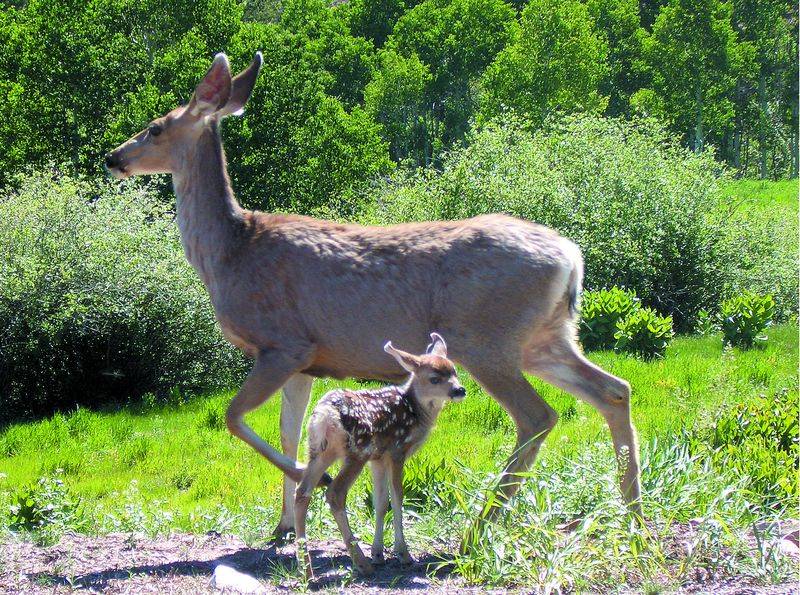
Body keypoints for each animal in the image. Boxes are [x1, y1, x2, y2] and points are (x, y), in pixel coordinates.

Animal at [104, 52, 642, 544]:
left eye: (154, 128)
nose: (113, 158)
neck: (230, 253)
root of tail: (571, 257)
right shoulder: (306, 362)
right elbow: (288, 430)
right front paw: (283, 526)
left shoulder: (283, 342)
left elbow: (234, 418)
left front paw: (316, 481)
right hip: (544, 338)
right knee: (614, 389)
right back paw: (632, 513)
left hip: (485, 336)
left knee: (538, 416)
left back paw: (482, 524)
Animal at [295, 333, 465, 578]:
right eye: (434, 378)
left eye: (454, 371)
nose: (460, 390)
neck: (416, 411)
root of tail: (325, 415)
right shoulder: (397, 450)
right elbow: (397, 497)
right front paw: (403, 554)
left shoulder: (378, 458)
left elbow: (381, 502)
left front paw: (378, 554)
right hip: (357, 451)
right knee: (335, 493)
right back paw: (360, 563)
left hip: (319, 451)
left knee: (302, 492)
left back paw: (306, 568)